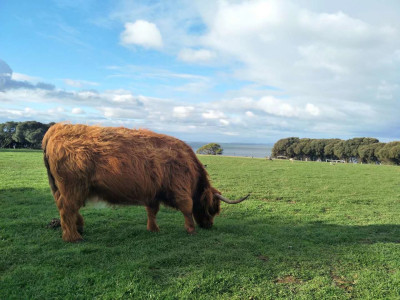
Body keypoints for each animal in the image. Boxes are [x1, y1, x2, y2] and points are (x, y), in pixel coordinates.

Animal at [40, 123, 247, 243]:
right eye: (212, 209)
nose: (209, 226)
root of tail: (55, 128)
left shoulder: (153, 193)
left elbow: (152, 212)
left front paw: (154, 229)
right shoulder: (180, 189)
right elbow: (187, 208)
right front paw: (191, 230)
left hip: (64, 189)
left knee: (68, 208)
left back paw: (79, 228)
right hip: (73, 187)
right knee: (67, 208)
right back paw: (73, 237)